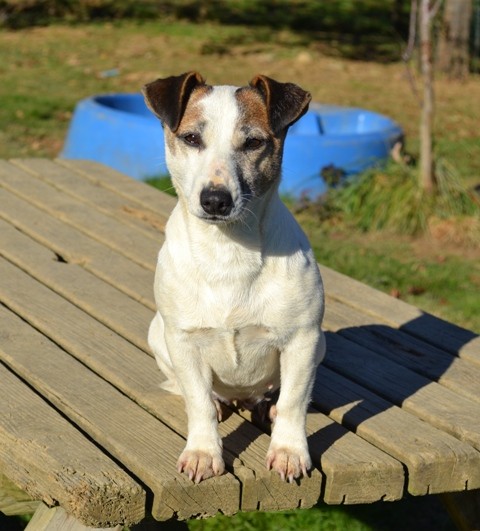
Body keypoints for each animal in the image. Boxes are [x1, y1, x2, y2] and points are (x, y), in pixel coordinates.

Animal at [142, 72, 326, 484]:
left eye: (254, 142)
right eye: (191, 138)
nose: (215, 200)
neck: (228, 251)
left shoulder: (303, 340)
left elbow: (294, 401)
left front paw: (289, 450)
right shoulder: (183, 341)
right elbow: (197, 403)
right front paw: (203, 452)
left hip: (320, 345)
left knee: (279, 395)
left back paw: (266, 406)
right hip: (158, 334)